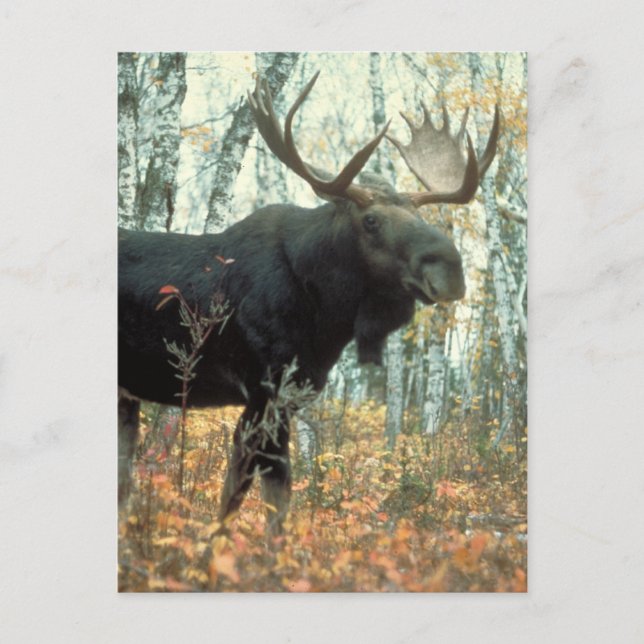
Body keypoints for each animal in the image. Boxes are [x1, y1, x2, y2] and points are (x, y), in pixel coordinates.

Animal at [118, 71, 499, 536]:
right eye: (371, 221)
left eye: (421, 217)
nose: (450, 268)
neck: (326, 316)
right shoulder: (265, 389)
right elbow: (256, 498)